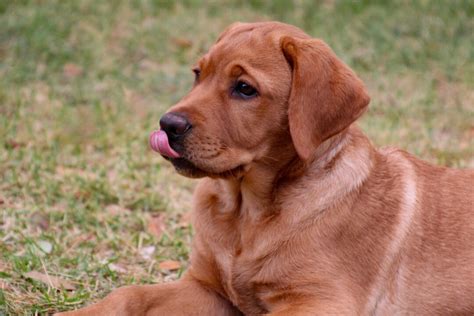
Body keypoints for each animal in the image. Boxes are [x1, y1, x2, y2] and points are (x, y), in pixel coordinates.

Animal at [59, 21, 474, 314]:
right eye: (198, 74)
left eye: (245, 89)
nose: (167, 125)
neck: (247, 214)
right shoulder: (207, 288)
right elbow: (128, 294)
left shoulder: (321, 301)